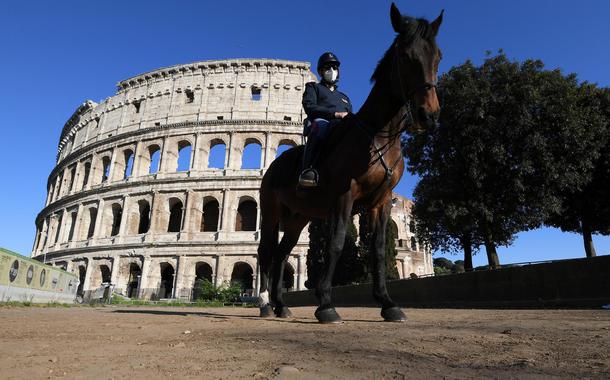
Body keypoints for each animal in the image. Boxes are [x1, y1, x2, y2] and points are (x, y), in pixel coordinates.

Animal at [256, 3, 442, 324]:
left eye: (438, 57)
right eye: (406, 57)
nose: (428, 115)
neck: (378, 135)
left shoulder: (382, 201)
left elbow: (378, 249)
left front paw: (387, 303)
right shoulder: (345, 194)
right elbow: (337, 242)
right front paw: (325, 304)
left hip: (298, 218)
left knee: (281, 253)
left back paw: (282, 306)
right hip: (271, 212)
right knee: (266, 252)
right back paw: (266, 304)